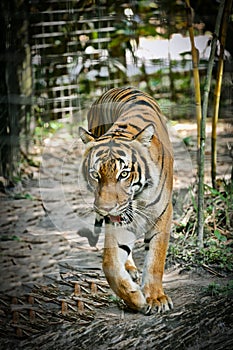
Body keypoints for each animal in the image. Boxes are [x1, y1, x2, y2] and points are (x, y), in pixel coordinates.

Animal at [79, 87, 174, 314]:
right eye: (95, 175)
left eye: (123, 174)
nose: (104, 209)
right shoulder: (118, 220)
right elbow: (110, 265)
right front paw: (136, 299)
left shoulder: (163, 213)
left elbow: (155, 258)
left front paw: (156, 298)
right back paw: (130, 269)